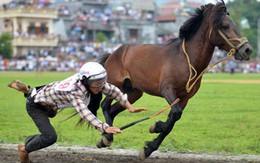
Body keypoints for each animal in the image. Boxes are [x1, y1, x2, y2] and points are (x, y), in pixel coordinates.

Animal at [95, 0, 252, 160]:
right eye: (225, 26)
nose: (247, 50)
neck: (185, 60)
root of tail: (114, 53)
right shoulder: (168, 90)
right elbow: (175, 114)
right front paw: (155, 127)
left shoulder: (184, 98)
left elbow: (172, 120)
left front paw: (149, 147)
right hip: (114, 85)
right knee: (105, 105)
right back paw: (107, 137)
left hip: (133, 93)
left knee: (112, 110)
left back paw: (106, 136)